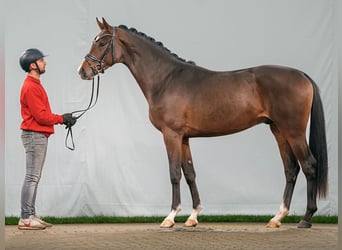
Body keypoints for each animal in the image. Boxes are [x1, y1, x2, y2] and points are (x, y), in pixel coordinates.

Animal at [78, 17, 328, 229]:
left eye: (102, 43)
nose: (82, 71)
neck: (166, 79)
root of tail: (302, 75)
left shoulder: (171, 135)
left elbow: (174, 173)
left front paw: (170, 217)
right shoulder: (184, 138)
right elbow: (189, 173)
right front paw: (193, 216)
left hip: (293, 131)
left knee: (309, 165)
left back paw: (306, 219)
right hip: (278, 130)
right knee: (291, 169)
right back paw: (277, 218)